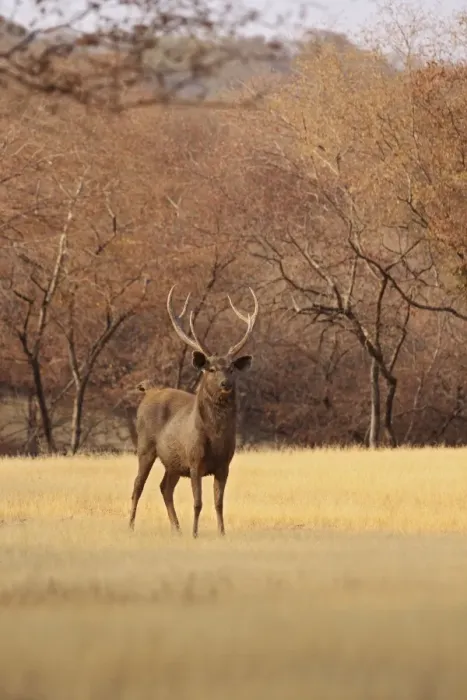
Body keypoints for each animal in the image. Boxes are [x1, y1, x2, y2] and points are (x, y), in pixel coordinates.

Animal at [129, 284, 259, 538]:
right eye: (211, 368)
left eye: (231, 368)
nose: (226, 384)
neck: (215, 437)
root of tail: (149, 390)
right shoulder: (194, 459)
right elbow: (198, 502)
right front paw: (195, 533)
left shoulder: (224, 464)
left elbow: (219, 503)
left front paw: (221, 533)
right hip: (145, 446)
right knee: (138, 485)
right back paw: (130, 526)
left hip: (173, 462)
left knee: (164, 487)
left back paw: (176, 529)